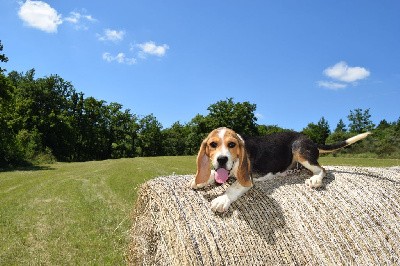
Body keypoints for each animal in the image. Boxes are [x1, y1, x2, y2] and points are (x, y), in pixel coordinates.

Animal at [189, 127, 370, 212]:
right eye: (213, 144)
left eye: (232, 145)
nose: (221, 159)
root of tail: (310, 140)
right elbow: (214, 174)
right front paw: (200, 180)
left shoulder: (247, 178)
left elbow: (233, 187)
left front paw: (221, 200)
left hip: (299, 149)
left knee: (323, 170)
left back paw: (315, 180)